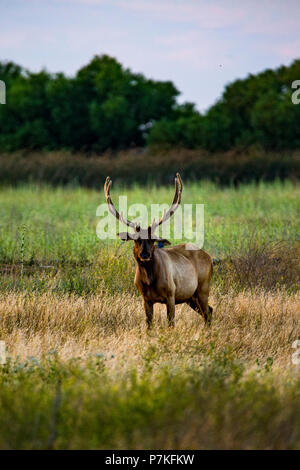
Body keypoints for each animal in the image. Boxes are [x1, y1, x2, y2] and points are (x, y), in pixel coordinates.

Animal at [104, 174, 212, 328]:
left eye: (153, 239)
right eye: (136, 239)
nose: (144, 254)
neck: (150, 281)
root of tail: (209, 257)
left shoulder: (171, 294)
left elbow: (171, 323)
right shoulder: (145, 298)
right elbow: (149, 324)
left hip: (203, 287)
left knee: (207, 313)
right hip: (190, 296)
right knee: (209, 310)